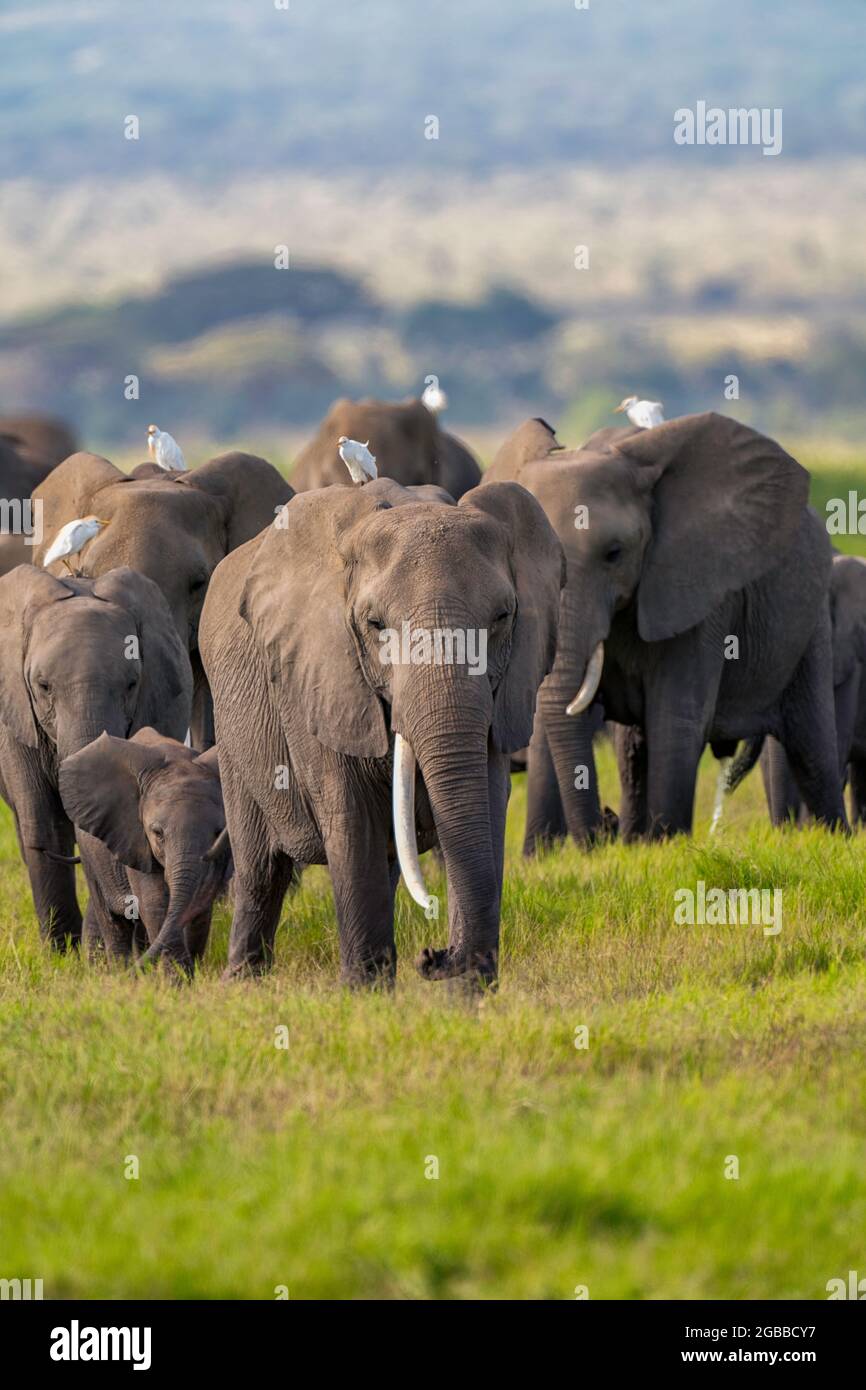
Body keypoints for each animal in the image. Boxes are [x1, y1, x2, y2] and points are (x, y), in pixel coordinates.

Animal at [59, 733, 232, 973]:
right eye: (158, 833)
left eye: (218, 832)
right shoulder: (136, 841)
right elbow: (155, 903)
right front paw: (179, 978)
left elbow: (198, 908)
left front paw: (191, 972)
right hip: (89, 854)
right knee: (113, 920)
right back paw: (119, 971)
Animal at [489, 411, 845, 845]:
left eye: (614, 554)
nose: (603, 827)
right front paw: (547, 854)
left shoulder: (697, 588)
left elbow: (677, 716)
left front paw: (669, 844)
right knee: (633, 750)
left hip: (812, 616)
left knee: (812, 747)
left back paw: (837, 837)